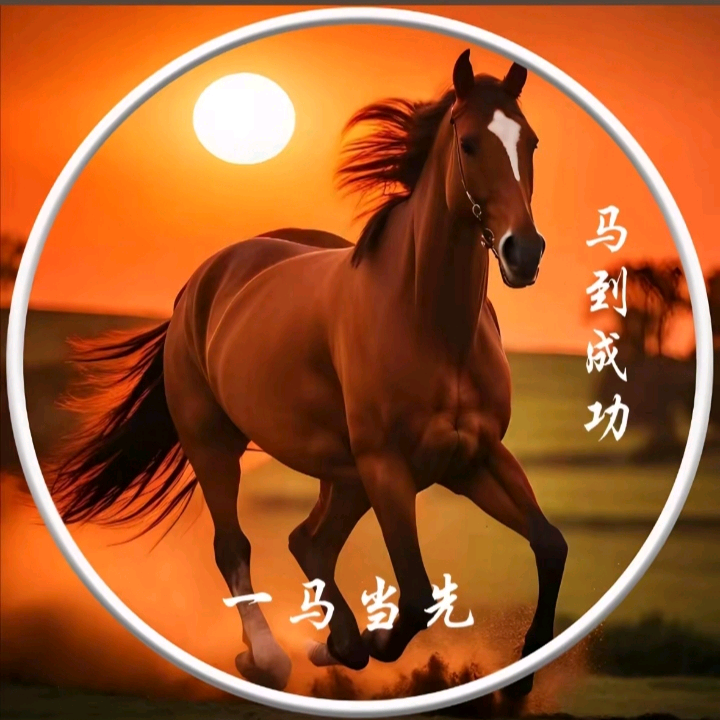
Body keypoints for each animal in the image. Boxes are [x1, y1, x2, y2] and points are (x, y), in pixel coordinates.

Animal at [51, 50, 567, 697]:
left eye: (532, 142)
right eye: (470, 143)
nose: (525, 252)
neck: (427, 321)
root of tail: (203, 280)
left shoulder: (475, 458)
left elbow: (550, 545)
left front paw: (519, 680)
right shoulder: (388, 466)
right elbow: (418, 595)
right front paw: (369, 640)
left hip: (342, 474)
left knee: (310, 542)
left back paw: (332, 646)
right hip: (217, 445)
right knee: (236, 546)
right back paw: (271, 658)